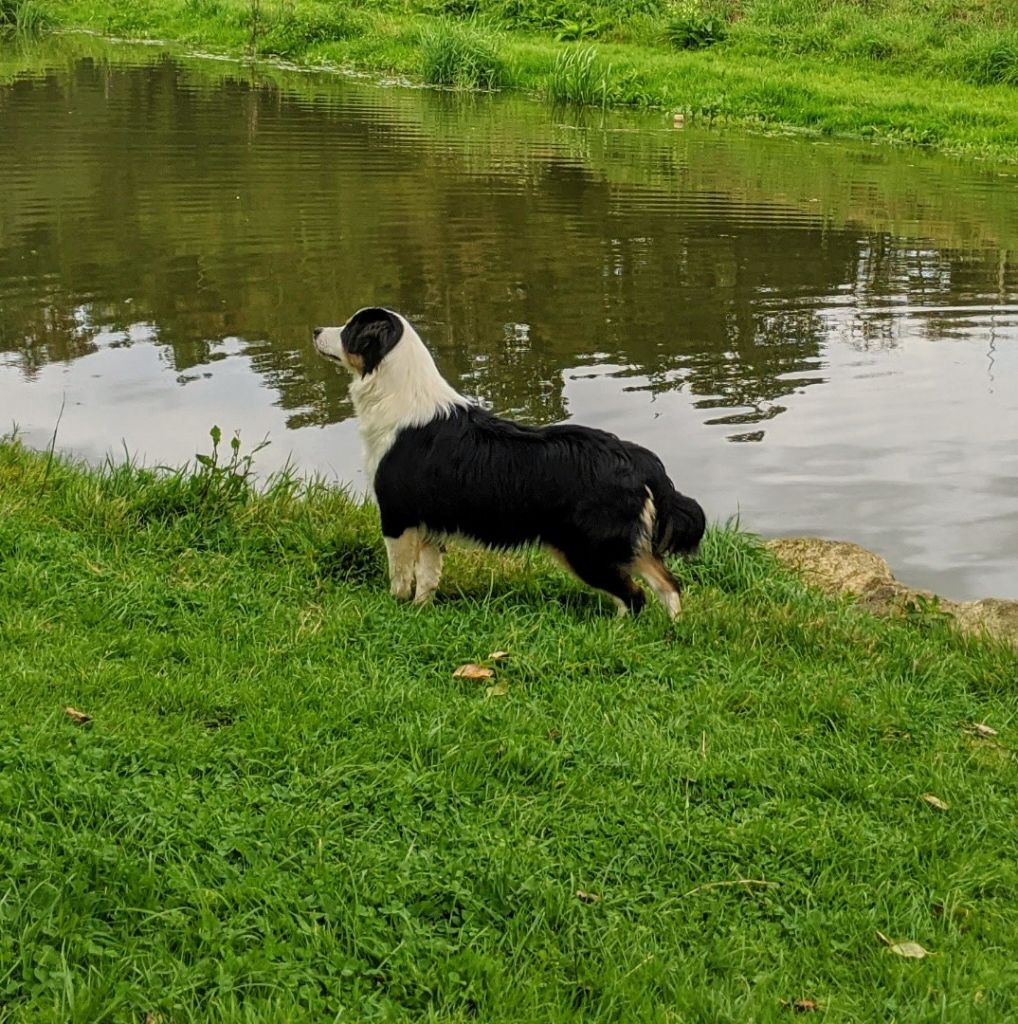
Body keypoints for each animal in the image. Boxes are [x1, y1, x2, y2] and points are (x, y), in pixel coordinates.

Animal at [313, 307, 700, 614]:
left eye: (349, 328)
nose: (315, 331)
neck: (400, 395)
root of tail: (637, 458)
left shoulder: (397, 516)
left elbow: (400, 574)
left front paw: (395, 607)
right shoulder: (430, 523)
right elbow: (428, 575)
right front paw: (422, 610)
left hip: (587, 549)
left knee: (634, 595)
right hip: (621, 543)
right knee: (667, 584)